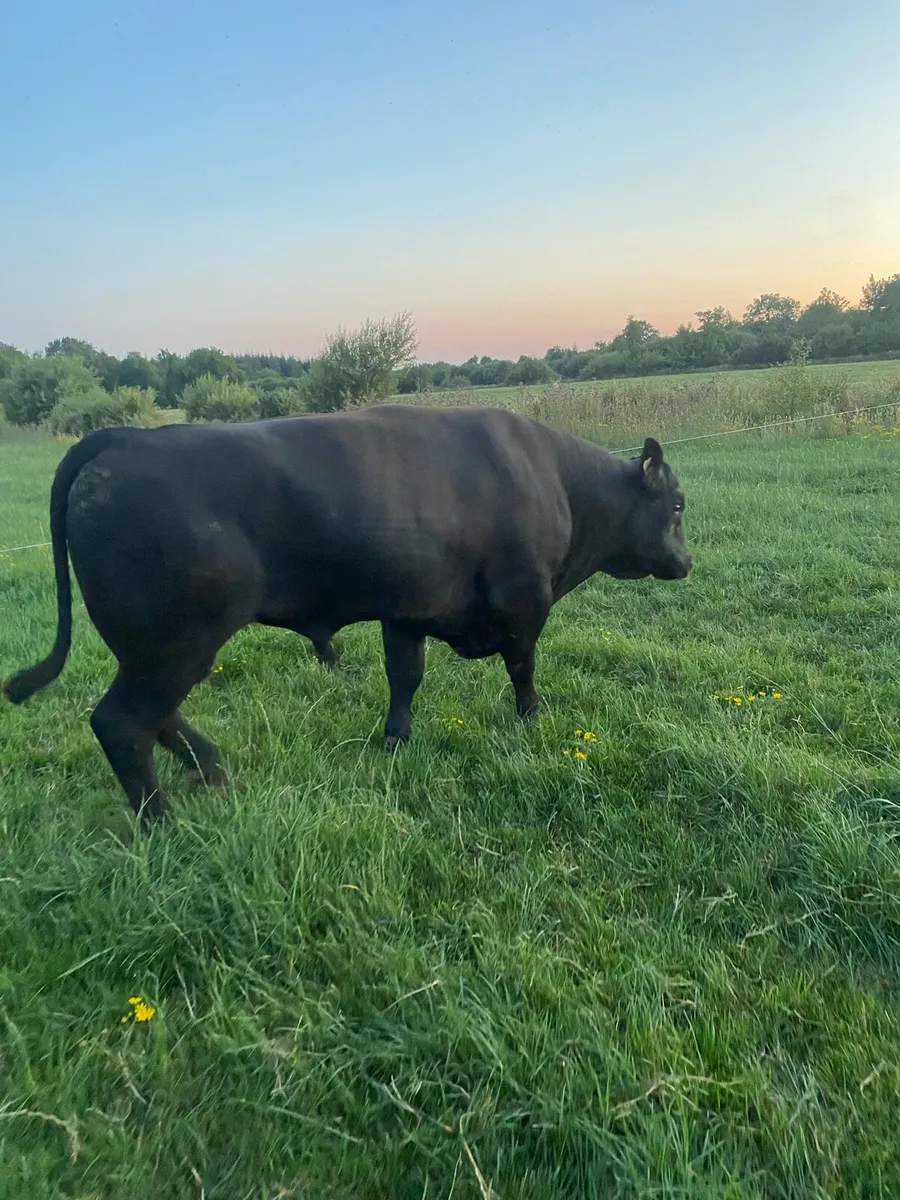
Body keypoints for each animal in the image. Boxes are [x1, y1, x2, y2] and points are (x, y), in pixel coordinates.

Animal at [3, 404, 692, 823]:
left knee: (155, 718)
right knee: (123, 723)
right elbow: (522, 668)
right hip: (175, 643)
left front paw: (395, 741)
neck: (557, 482)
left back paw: (214, 773)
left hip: (154, 649)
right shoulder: (525, 601)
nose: (686, 563)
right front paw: (531, 718)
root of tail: (125, 438)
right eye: (679, 504)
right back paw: (164, 823)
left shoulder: (407, 610)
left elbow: (405, 677)